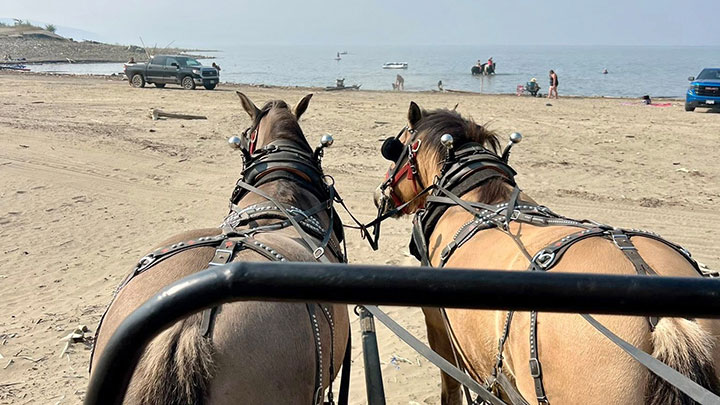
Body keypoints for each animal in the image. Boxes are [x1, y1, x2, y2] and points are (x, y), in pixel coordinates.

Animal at [372, 101, 720, 405]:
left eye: (394, 149)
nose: (379, 195)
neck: (476, 197)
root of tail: (668, 322)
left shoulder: (439, 331)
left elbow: (451, 390)